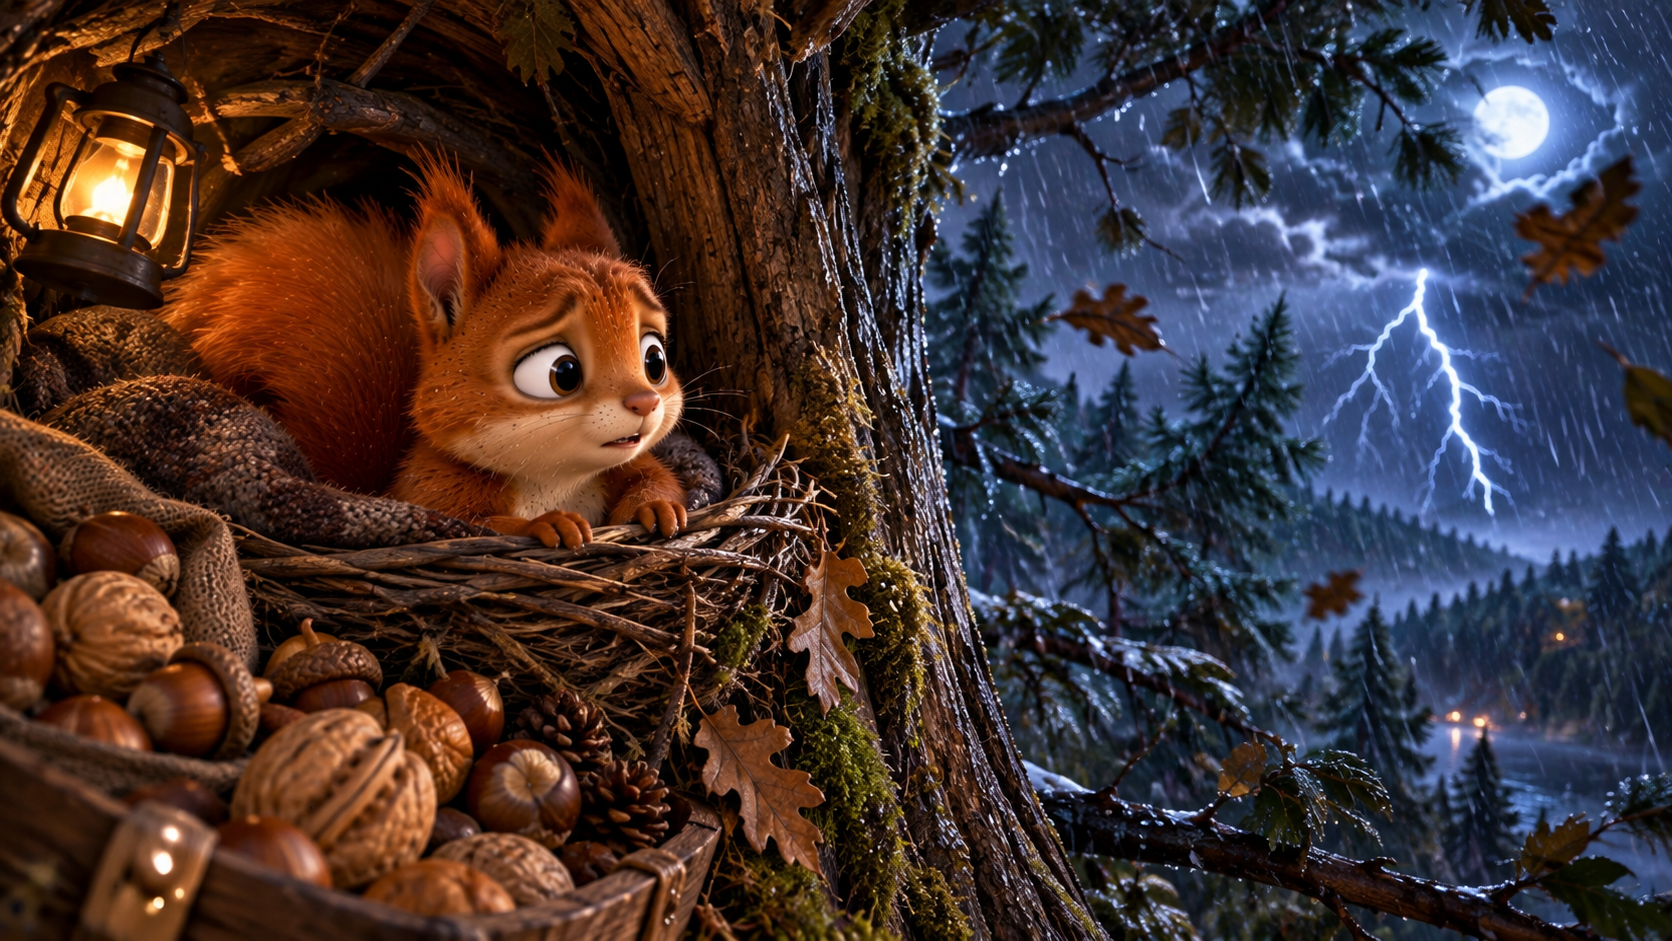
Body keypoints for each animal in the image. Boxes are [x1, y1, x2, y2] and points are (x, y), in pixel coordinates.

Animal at [160, 157, 690, 548]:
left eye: (654, 360)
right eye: (561, 372)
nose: (645, 403)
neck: (556, 478)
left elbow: (648, 475)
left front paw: (658, 504)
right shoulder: (431, 492)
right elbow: (472, 526)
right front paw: (547, 523)